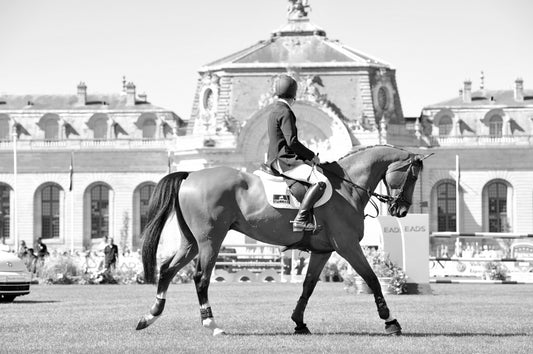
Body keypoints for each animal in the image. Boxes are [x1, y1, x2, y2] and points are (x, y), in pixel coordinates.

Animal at [136, 145, 428, 336]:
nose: (401, 210)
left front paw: (299, 323)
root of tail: (191, 175)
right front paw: (391, 322)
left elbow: (308, 286)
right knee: (200, 277)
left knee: (167, 269)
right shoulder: (346, 246)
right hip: (210, 239)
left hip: (192, 242)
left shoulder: (323, 251)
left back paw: (150, 316)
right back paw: (211, 324)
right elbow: (372, 278)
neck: (347, 186)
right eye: (412, 176)